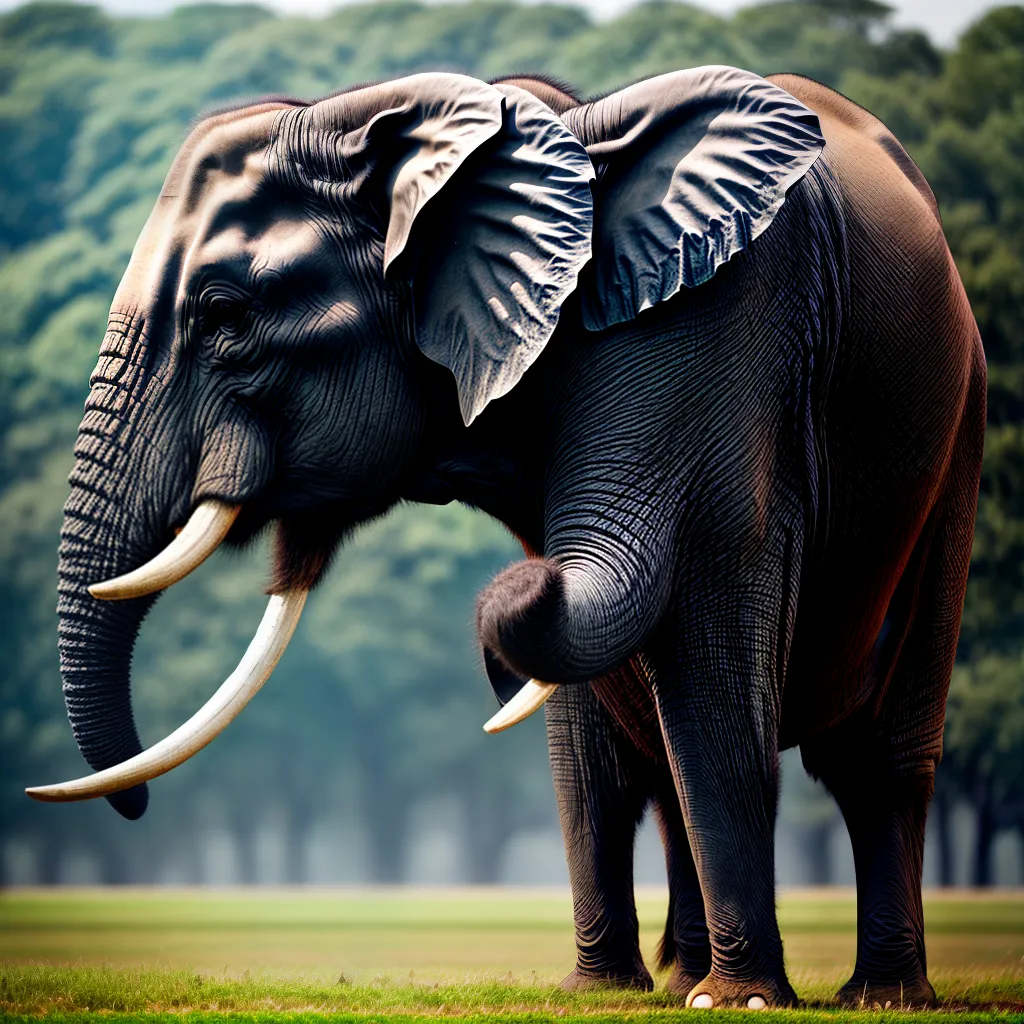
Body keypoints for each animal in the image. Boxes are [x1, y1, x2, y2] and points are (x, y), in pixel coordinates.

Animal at [29, 65, 985, 1009]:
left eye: (226, 316)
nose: (137, 810)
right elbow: (588, 708)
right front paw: (596, 993)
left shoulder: (719, 343)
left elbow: (699, 655)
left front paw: (742, 1002)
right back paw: (681, 984)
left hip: (958, 439)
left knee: (876, 756)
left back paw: (874, 996)